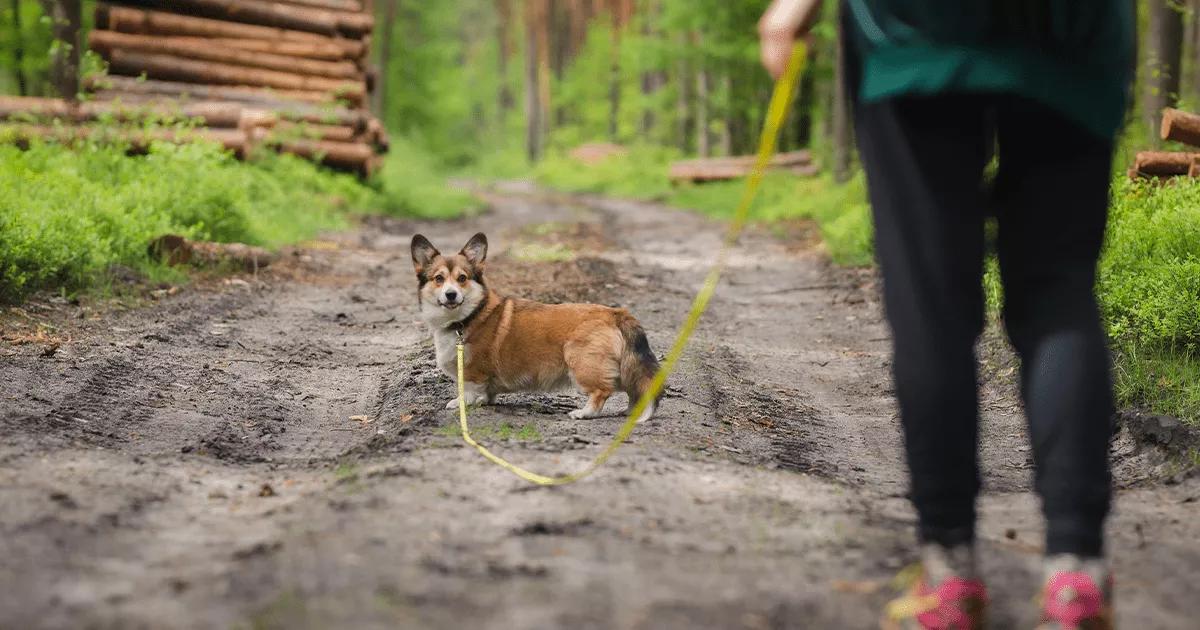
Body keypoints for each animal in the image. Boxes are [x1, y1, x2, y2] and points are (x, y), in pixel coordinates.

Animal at [408, 232, 662, 420]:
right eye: (439, 278)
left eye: (462, 278)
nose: (451, 295)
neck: (468, 317)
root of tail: (616, 313)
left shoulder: (474, 373)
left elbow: (469, 390)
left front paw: (462, 403)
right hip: (625, 366)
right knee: (634, 389)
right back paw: (629, 411)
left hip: (581, 363)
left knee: (602, 391)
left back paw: (583, 413)